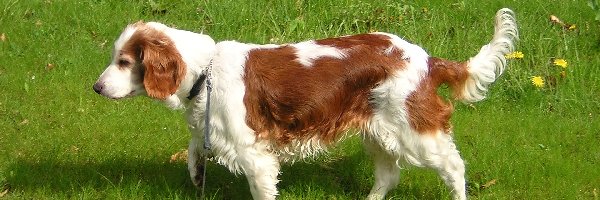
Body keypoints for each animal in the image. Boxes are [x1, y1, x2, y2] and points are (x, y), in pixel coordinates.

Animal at [92, 8, 516, 200]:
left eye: (124, 62)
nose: (95, 87)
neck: (205, 69)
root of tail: (427, 59)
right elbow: (195, 148)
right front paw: (196, 172)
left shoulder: (255, 157)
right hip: (379, 131)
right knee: (388, 176)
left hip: (415, 131)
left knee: (453, 167)